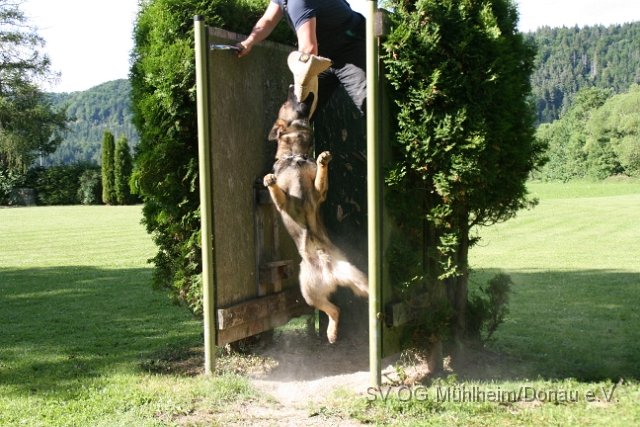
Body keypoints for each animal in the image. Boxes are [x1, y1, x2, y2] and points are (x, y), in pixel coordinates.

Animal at [263, 88, 368, 343]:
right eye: (285, 103)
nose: (292, 87)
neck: (296, 156)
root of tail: (328, 271)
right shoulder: (284, 203)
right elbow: (277, 191)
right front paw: (269, 181)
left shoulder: (319, 193)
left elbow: (321, 176)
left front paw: (323, 160)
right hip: (309, 292)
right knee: (335, 309)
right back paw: (331, 332)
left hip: (355, 278)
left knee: (339, 307)